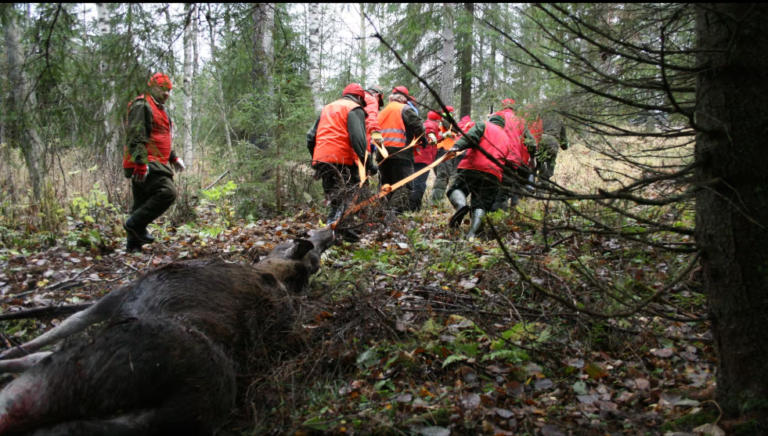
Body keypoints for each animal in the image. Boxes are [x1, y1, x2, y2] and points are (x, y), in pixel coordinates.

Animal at [0, 228, 336, 436]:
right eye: (313, 251)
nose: (330, 231)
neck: (276, 274)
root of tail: (176, 403)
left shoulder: (117, 295)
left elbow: (59, 328)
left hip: (63, 376)